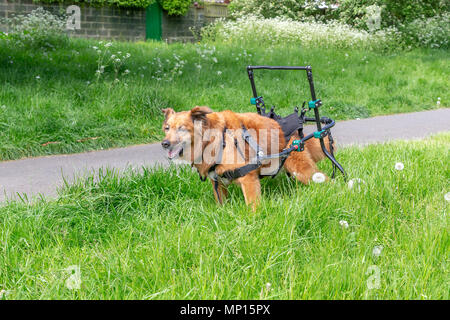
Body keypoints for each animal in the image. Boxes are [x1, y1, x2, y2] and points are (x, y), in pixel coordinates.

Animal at [162, 106, 334, 209]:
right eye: (167, 128)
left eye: (182, 128)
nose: (164, 143)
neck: (216, 141)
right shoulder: (217, 183)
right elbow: (221, 203)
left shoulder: (248, 179)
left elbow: (253, 208)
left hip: (303, 171)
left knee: (328, 181)